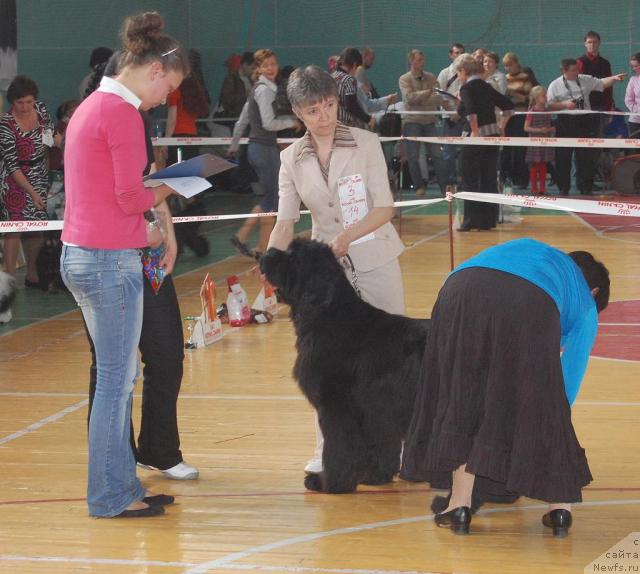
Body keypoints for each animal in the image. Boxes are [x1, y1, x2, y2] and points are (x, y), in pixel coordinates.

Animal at [260, 240, 430, 496]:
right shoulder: (376, 411)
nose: (269, 251)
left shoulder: (336, 407)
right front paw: (375, 477)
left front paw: (328, 483)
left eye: (294, 257)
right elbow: (379, 447)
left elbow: (338, 448)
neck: (327, 314)